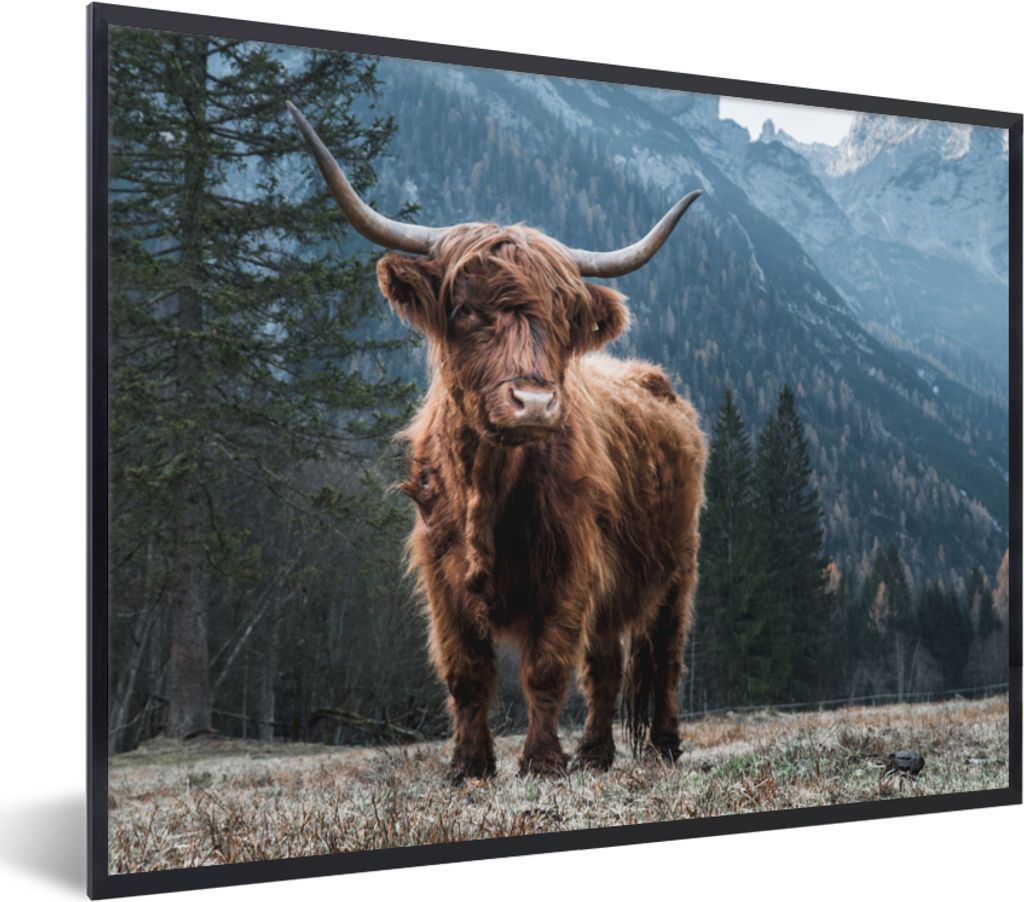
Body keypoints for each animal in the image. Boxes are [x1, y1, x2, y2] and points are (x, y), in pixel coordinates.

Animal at [289, 102, 707, 782]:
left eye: (563, 318)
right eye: (464, 310)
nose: (534, 403)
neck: (487, 483)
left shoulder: (570, 568)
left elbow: (545, 669)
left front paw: (540, 761)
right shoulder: (441, 575)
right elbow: (466, 673)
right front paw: (469, 766)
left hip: (678, 568)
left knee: (660, 656)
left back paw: (661, 746)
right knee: (607, 664)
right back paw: (596, 753)